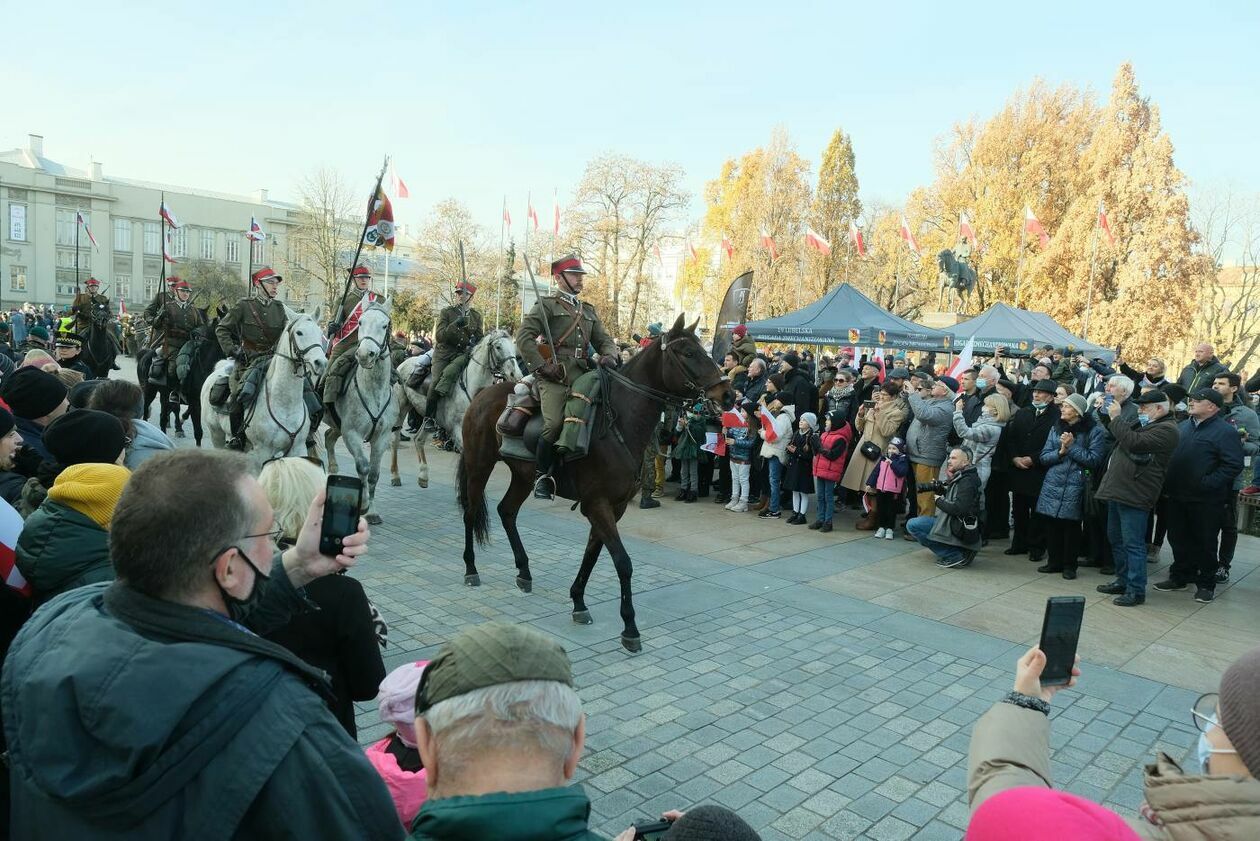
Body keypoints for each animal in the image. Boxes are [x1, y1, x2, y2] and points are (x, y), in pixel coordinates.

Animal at [199, 306, 327, 471]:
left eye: (320, 333)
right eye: (299, 332)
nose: (321, 363)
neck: (284, 403)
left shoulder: (297, 449)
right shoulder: (262, 452)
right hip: (216, 434)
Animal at [325, 302, 398, 527]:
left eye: (384, 325)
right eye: (360, 322)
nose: (366, 354)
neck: (373, 390)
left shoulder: (382, 437)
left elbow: (373, 474)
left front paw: (372, 511)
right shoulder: (352, 434)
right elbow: (363, 467)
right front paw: (364, 504)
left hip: (336, 426)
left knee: (328, 438)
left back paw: (332, 468)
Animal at [383, 327, 521, 486]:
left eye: (514, 347)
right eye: (498, 347)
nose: (515, 374)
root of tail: (405, 363)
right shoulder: (458, 431)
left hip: (428, 415)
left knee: (419, 439)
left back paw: (423, 475)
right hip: (402, 407)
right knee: (395, 439)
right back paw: (395, 475)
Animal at [461, 312, 730, 655]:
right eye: (688, 352)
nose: (728, 394)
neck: (619, 423)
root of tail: (482, 394)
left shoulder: (613, 507)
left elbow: (593, 553)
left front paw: (578, 601)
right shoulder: (597, 504)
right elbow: (623, 562)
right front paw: (630, 628)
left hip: (522, 476)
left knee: (506, 511)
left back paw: (524, 571)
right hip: (478, 466)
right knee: (471, 512)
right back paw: (471, 569)